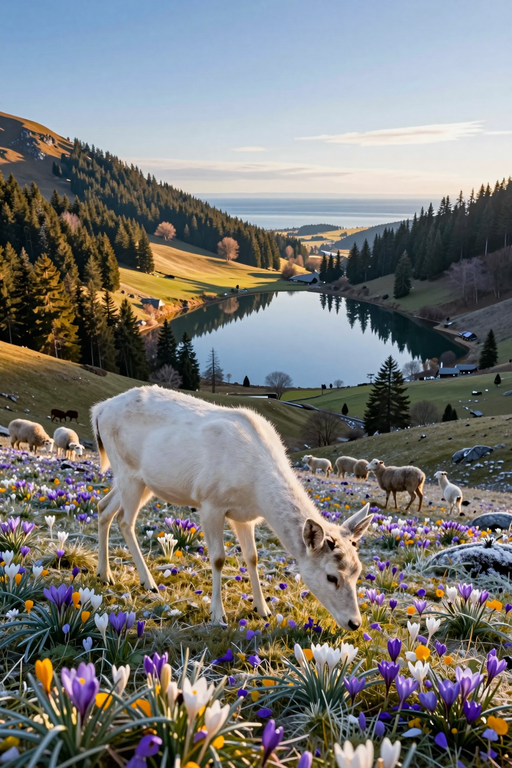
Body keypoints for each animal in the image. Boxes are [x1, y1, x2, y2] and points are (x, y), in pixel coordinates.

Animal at [91, 386, 373, 629]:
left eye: (358, 572)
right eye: (331, 577)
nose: (355, 623)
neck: (255, 490)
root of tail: (99, 409)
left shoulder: (244, 517)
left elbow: (252, 557)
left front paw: (262, 609)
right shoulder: (209, 502)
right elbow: (217, 558)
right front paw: (218, 614)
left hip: (141, 480)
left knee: (104, 506)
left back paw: (104, 574)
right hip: (128, 471)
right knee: (125, 520)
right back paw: (148, 581)